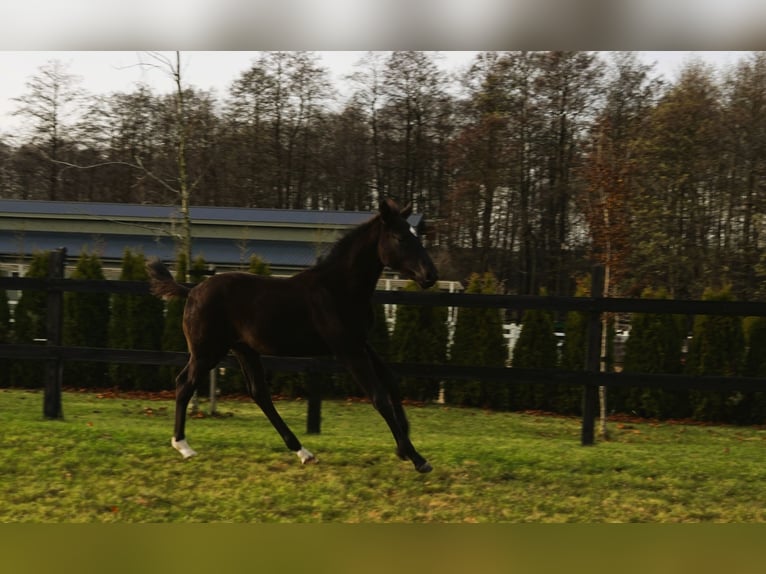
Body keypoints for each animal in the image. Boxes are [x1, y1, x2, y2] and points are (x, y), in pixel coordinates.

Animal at [147, 198, 438, 473]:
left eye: (417, 235)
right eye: (400, 237)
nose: (431, 275)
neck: (339, 289)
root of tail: (191, 291)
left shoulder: (361, 344)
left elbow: (391, 381)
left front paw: (403, 448)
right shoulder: (347, 349)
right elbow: (379, 396)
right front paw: (418, 459)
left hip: (244, 350)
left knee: (259, 393)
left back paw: (303, 452)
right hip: (207, 351)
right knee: (185, 383)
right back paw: (183, 446)